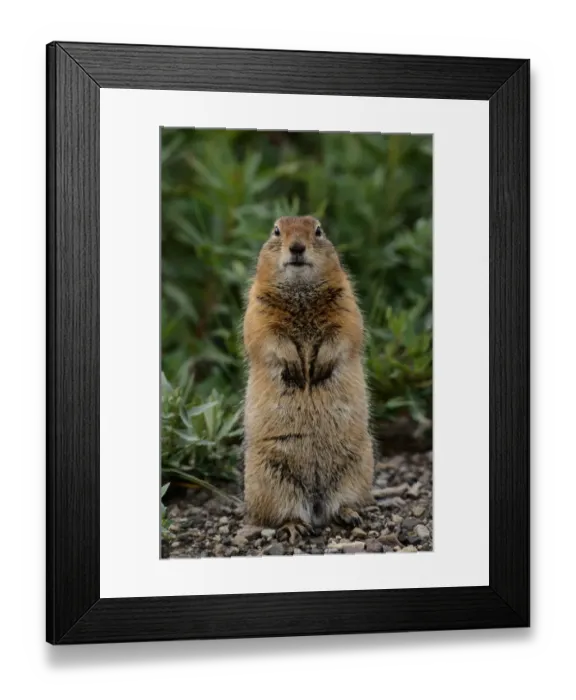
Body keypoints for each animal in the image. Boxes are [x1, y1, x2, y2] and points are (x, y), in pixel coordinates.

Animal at [241, 215, 375, 544]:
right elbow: (268, 337)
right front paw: (297, 369)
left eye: (319, 230)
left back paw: (349, 514)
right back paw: (294, 526)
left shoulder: (346, 302)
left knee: (340, 503)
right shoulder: (258, 308)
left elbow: (346, 332)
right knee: (281, 515)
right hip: (269, 481)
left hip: (358, 467)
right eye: (276, 230)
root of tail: (314, 501)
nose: (297, 247)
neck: (300, 293)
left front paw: (319, 367)